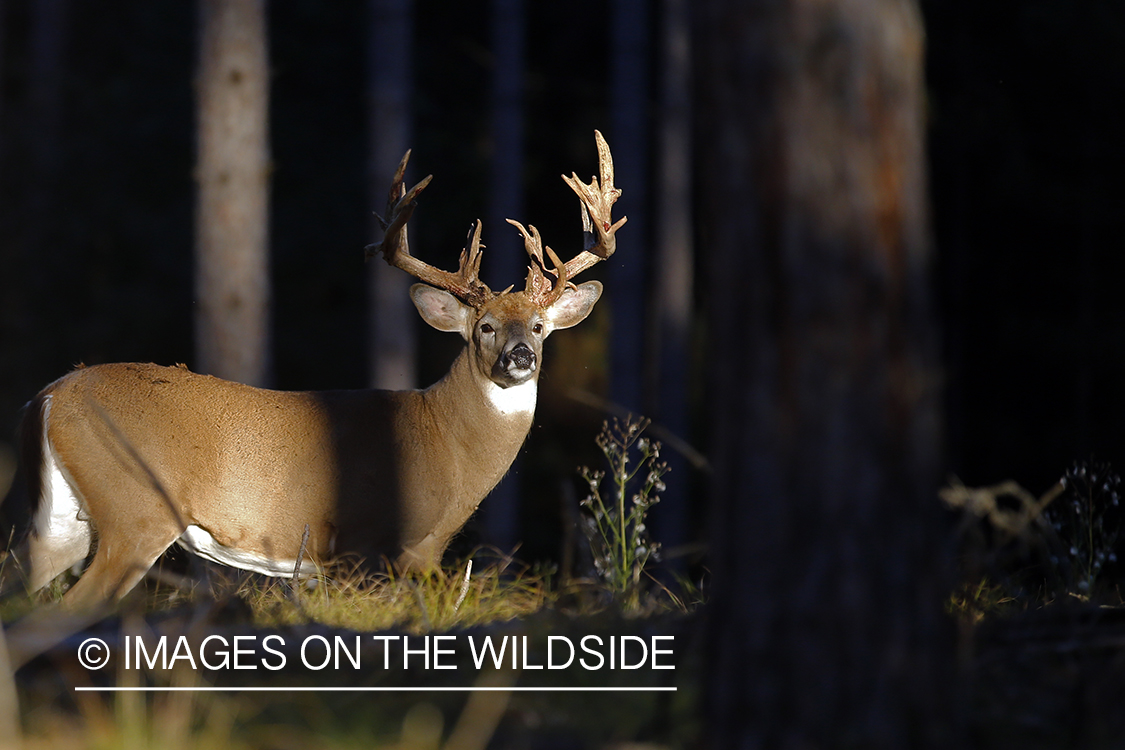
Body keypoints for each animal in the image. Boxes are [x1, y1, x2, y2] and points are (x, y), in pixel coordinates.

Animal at [2, 130, 625, 611]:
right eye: (486, 327)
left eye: (540, 326)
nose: (520, 355)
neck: (442, 445)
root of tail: (47, 398)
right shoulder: (362, 545)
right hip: (134, 510)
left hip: (62, 521)